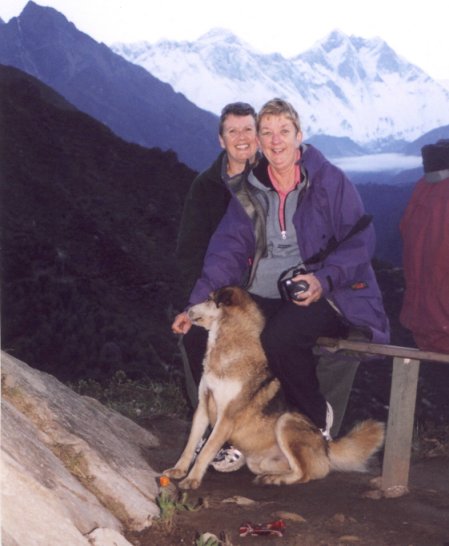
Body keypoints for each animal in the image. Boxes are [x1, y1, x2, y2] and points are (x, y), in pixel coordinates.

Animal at [163, 284, 384, 488]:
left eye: (209, 299)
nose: (186, 311)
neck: (229, 344)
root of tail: (325, 447)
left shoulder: (226, 418)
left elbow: (205, 451)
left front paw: (192, 479)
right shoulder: (202, 407)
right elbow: (190, 445)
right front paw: (178, 470)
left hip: (286, 422)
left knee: (305, 473)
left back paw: (275, 480)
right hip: (259, 461)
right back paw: (270, 476)